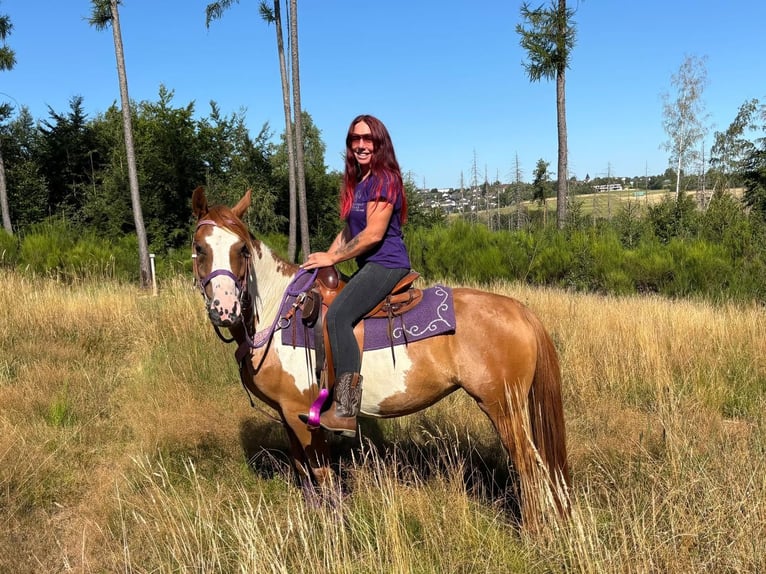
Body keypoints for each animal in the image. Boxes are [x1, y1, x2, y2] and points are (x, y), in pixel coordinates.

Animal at [190, 186, 571, 525]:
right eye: (199, 248)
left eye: (242, 249)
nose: (225, 308)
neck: (279, 312)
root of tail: (520, 310)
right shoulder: (286, 415)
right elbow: (303, 471)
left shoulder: (302, 413)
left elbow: (322, 473)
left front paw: (336, 527)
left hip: (503, 407)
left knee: (528, 464)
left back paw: (534, 531)